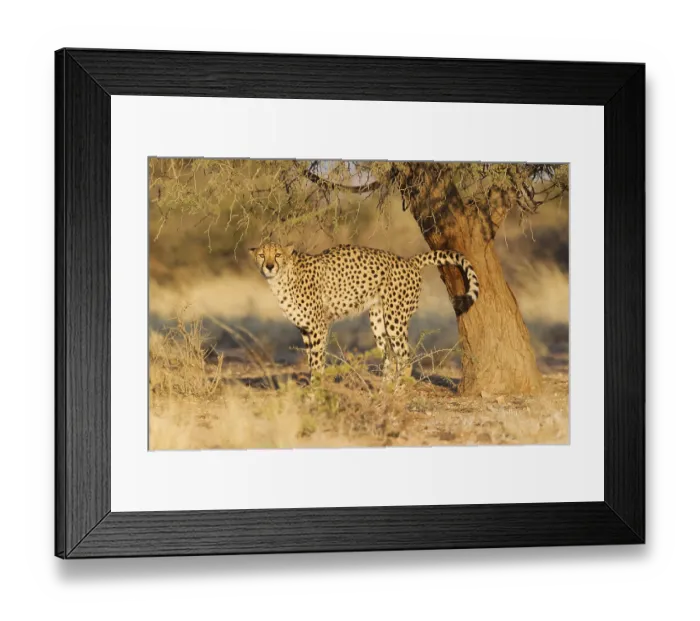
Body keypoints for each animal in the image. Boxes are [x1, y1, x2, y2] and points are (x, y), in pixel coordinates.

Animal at [249, 242, 479, 380]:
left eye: (277, 254)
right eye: (261, 255)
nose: (269, 266)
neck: (283, 277)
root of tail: (408, 260)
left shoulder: (318, 327)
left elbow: (317, 362)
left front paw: (315, 393)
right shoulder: (305, 330)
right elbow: (310, 362)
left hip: (395, 319)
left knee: (405, 359)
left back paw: (397, 396)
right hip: (378, 319)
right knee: (390, 359)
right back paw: (383, 396)